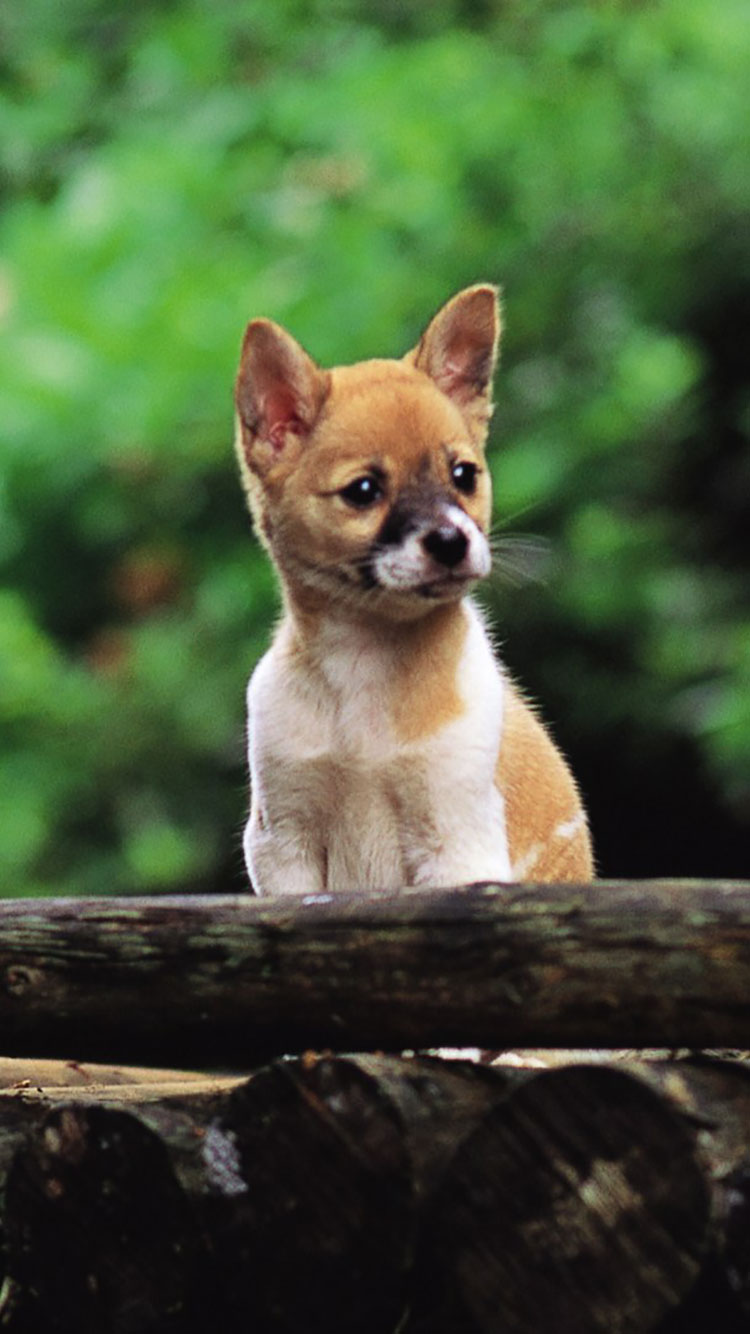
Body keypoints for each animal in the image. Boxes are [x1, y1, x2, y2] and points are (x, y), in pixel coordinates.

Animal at [233, 285, 589, 891]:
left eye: (464, 475)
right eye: (363, 491)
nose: (451, 541)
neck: (365, 662)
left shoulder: (455, 840)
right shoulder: (283, 842)